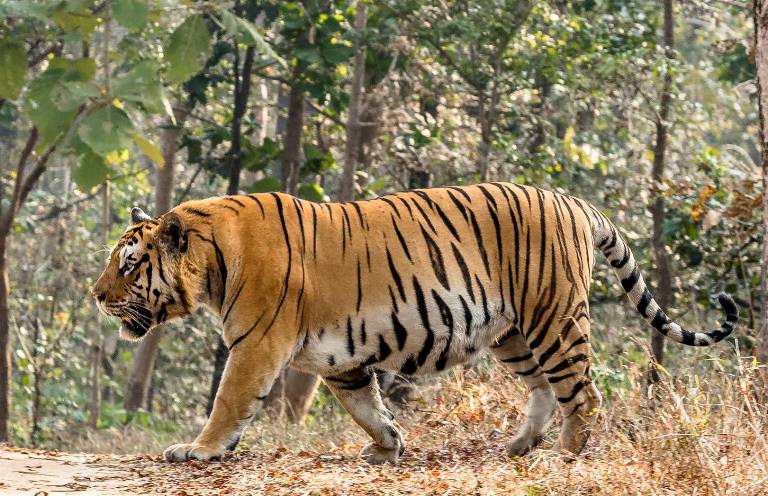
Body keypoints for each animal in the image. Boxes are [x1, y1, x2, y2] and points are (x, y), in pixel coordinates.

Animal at [92, 182, 738, 464]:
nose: (96, 296)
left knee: (582, 391)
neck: (212, 260)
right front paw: (388, 446)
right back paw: (520, 446)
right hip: (512, 334)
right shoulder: (339, 359)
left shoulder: (256, 346)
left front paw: (197, 450)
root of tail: (572, 200)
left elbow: (228, 401)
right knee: (542, 388)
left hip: (552, 317)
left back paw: (569, 453)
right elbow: (365, 406)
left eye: (128, 264)